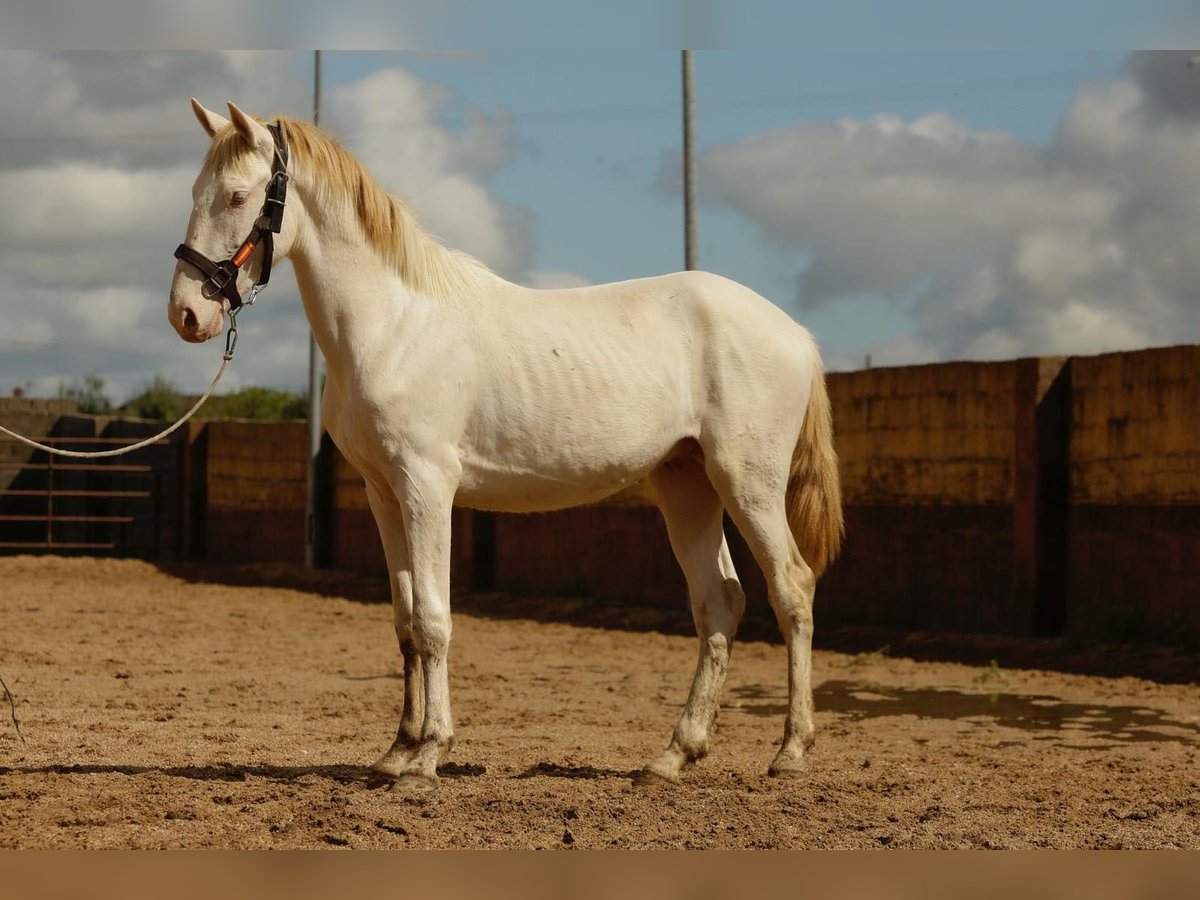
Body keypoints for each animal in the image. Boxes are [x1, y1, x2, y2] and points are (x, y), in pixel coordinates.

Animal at [169, 100, 844, 787]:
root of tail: (797, 335)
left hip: (748, 483)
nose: (187, 315)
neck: (394, 325)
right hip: (687, 485)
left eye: (238, 195)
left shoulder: (426, 488)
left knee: (792, 589)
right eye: (196, 192)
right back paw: (672, 756)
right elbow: (405, 622)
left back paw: (790, 751)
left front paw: (429, 755)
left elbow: (434, 620)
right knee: (719, 602)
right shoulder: (384, 494)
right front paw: (397, 750)